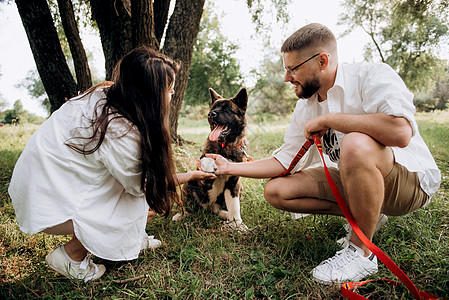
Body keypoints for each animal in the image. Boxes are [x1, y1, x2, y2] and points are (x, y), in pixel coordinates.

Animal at [173, 88, 248, 231]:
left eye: (227, 109)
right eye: (213, 108)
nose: (210, 114)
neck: (225, 145)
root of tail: (210, 208)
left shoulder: (234, 183)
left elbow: (234, 206)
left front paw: (237, 224)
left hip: (239, 189)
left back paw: (226, 215)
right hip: (188, 184)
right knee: (190, 207)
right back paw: (182, 215)